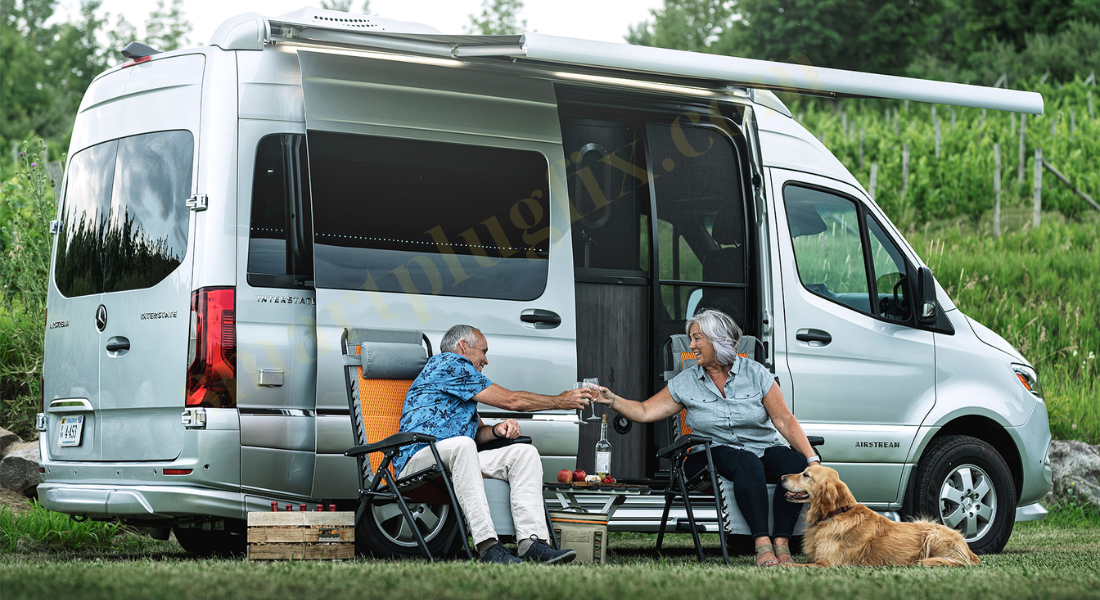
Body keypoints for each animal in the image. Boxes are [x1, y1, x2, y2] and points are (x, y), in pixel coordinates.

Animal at [783, 462, 981, 568]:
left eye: (805, 474)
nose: (782, 477)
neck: (835, 514)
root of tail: (971, 552)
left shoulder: (828, 564)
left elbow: (794, 565)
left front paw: (780, 565)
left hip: (933, 535)